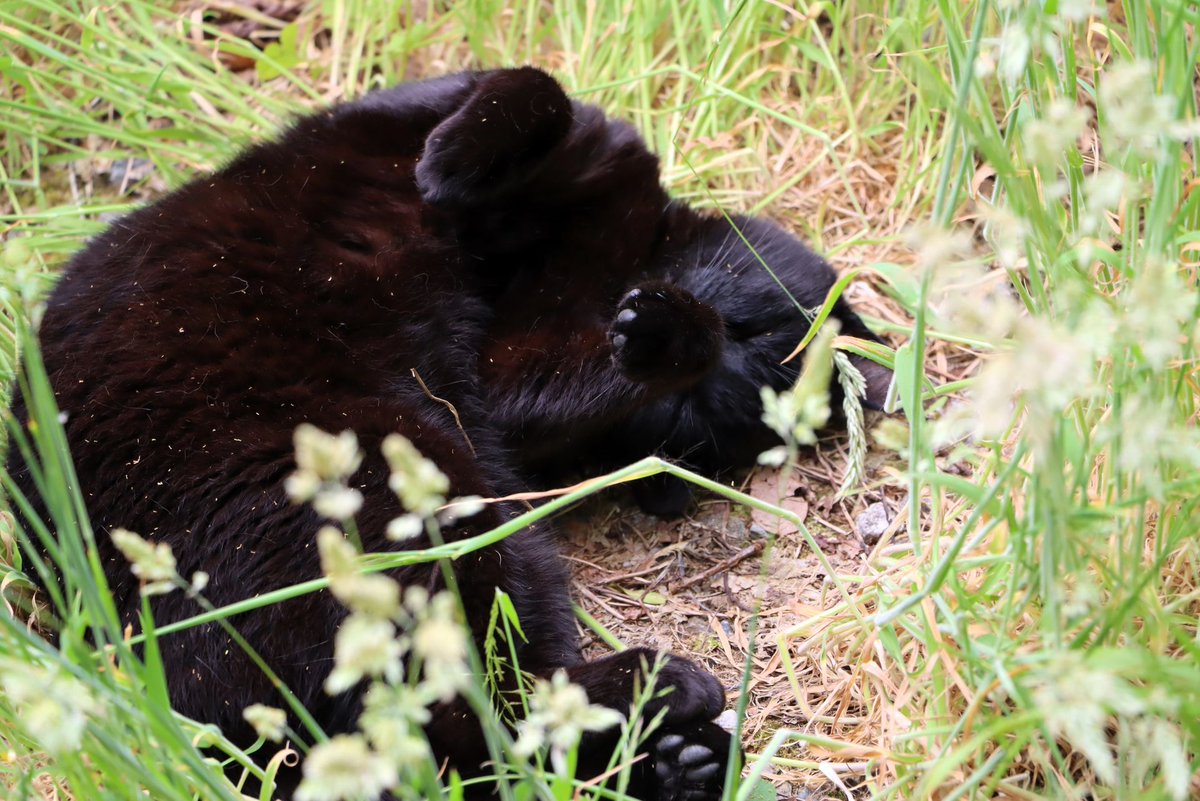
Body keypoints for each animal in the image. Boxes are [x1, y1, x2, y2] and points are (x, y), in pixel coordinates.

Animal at [9, 67, 888, 796]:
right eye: (748, 335)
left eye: (703, 429)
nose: (689, 394)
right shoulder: (519, 164)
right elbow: (532, 90)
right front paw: (449, 164)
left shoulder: (499, 386)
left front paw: (664, 334)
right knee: (469, 730)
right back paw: (672, 735)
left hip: (441, 510)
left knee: (474, 724)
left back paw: (673, 721)